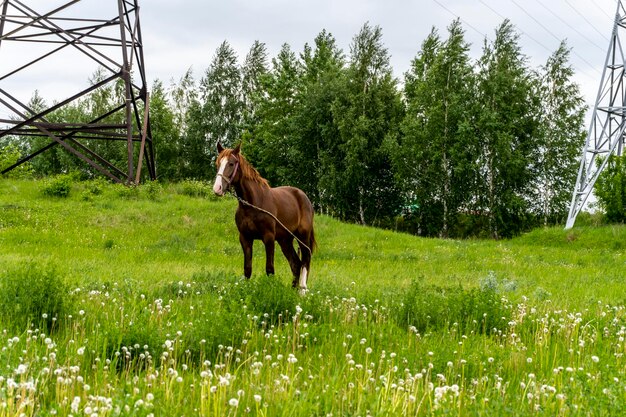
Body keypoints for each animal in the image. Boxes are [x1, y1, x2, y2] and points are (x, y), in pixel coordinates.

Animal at [212, 143, 316, 292]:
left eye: (231, 163)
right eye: (218, 163)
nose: (217, 188)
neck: (252, 204)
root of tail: (304, 197)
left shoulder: (269, 237)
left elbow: (270, 269)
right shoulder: (245, 237)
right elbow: (247, 269)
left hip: (302, 236)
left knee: (306, 260)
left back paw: (302, 290)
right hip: (285, 240)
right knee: (296, 264)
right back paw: (293, 291)